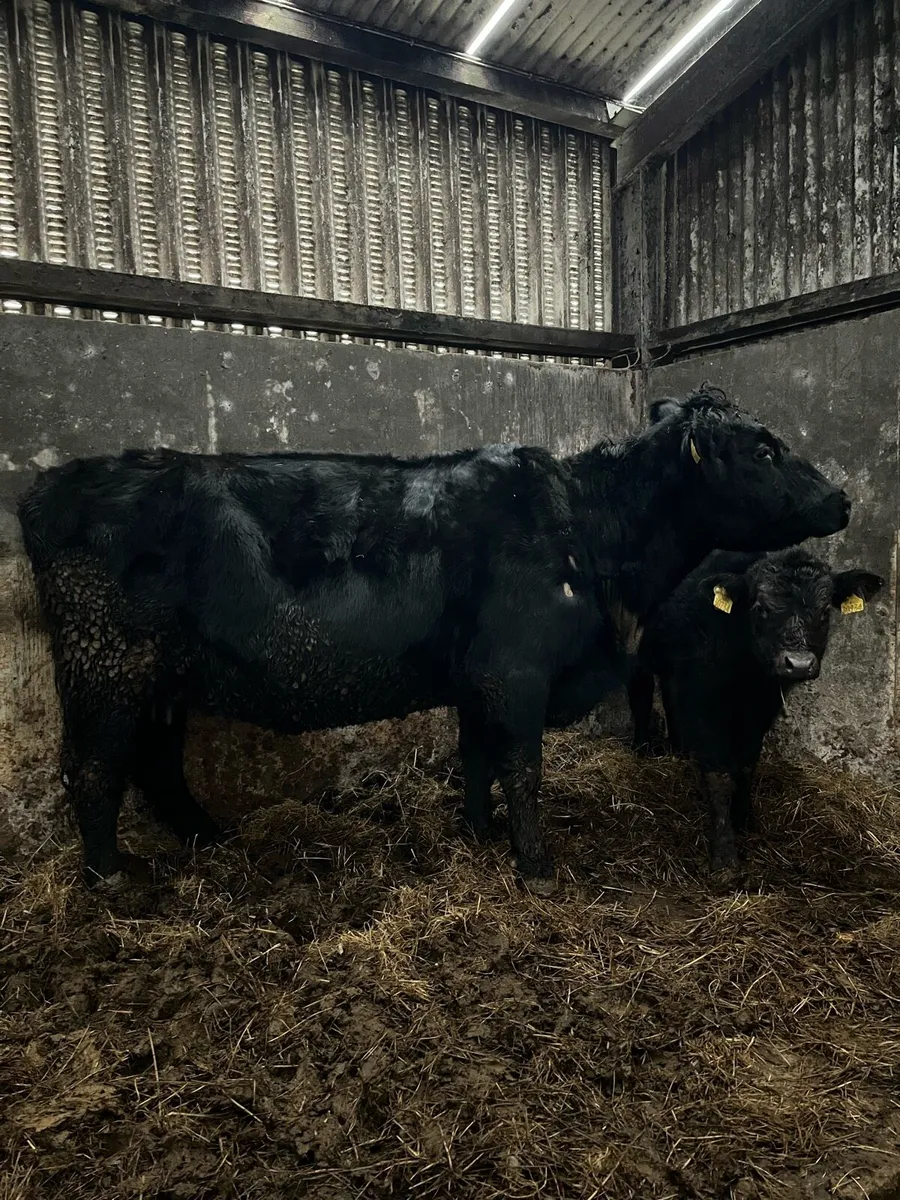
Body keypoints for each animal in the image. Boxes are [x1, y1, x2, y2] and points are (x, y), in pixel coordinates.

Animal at [17, 385, 851, 892]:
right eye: (764, 448)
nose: (843, 497)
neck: (591, 533)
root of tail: (54, 484)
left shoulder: (477, 676)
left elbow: (475, 757)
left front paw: (477, 835)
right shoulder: (515, 671)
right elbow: (522, 770)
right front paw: (535, 866)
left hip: (160, 678)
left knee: (155, 768)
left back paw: (208, 840)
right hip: (105, 665)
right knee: (92, 771)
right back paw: (111, 878)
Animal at [628, 547, 883, 878]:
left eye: (825, 610)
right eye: (761, 608)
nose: (798, 663)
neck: (747, 675)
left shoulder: (761, 710)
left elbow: (747, 765)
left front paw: (743, 819)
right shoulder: (702, 703)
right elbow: (720, 776)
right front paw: (724, 856)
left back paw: (678, 750)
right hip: (640, 648)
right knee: (641, 690)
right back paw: (642, 748)